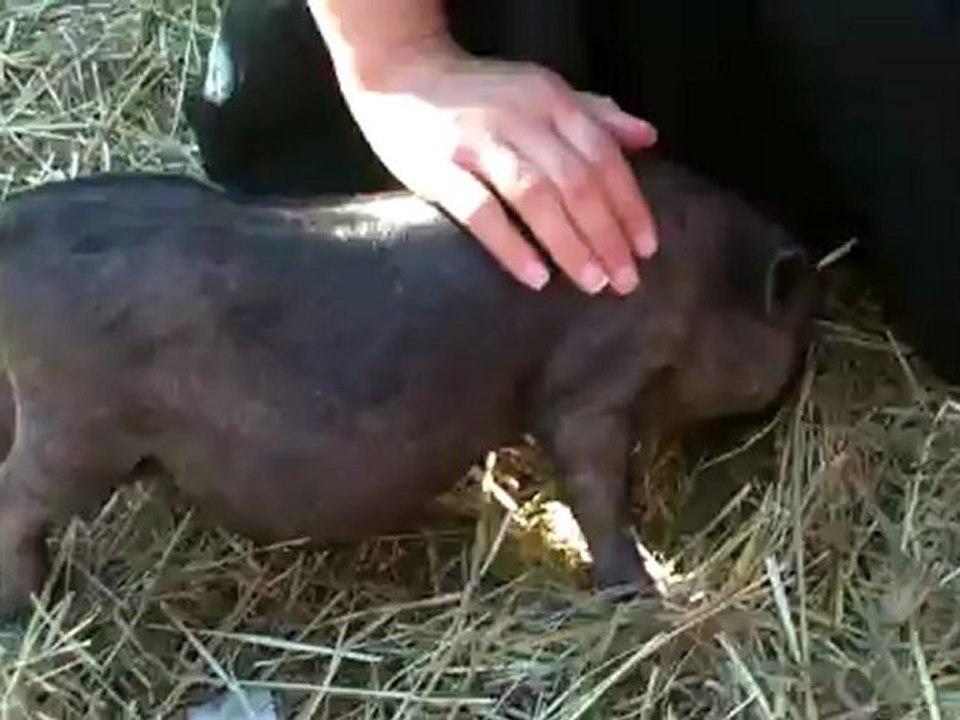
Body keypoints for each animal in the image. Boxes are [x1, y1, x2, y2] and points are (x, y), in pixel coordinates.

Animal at [0, 155, 816, 618]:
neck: (702, 282)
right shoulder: (589, 382)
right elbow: (595, 484)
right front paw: (649, 596)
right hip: (77, 426)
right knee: (16, 500)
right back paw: (36, 607)